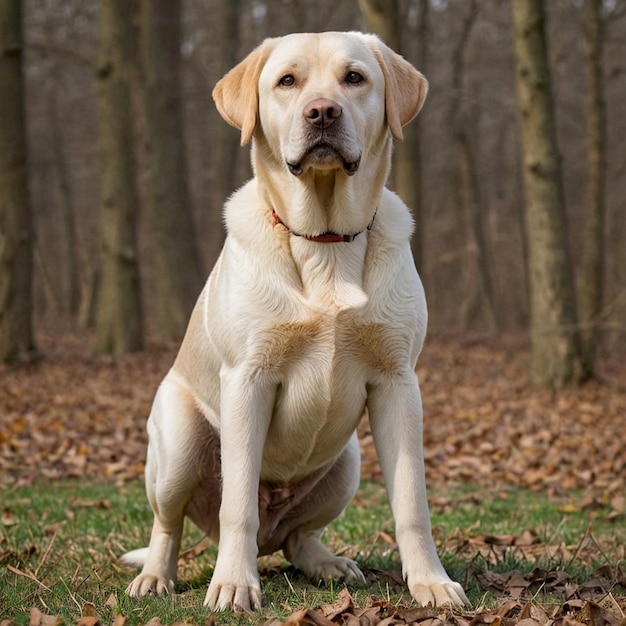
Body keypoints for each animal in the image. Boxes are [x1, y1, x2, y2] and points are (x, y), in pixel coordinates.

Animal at [122, 30, 466, 608]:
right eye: (287, 81)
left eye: (355, 77)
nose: (323, 111)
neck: (324, 241)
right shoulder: (248, 380)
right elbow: (236, 504)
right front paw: (233, 585)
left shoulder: (399, 383)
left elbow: (412, 505)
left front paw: (431, 583)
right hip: (179, 445)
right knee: (169, 526)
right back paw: (155, 576)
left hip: (348, 461)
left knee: (300, 536)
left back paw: (328, 563)